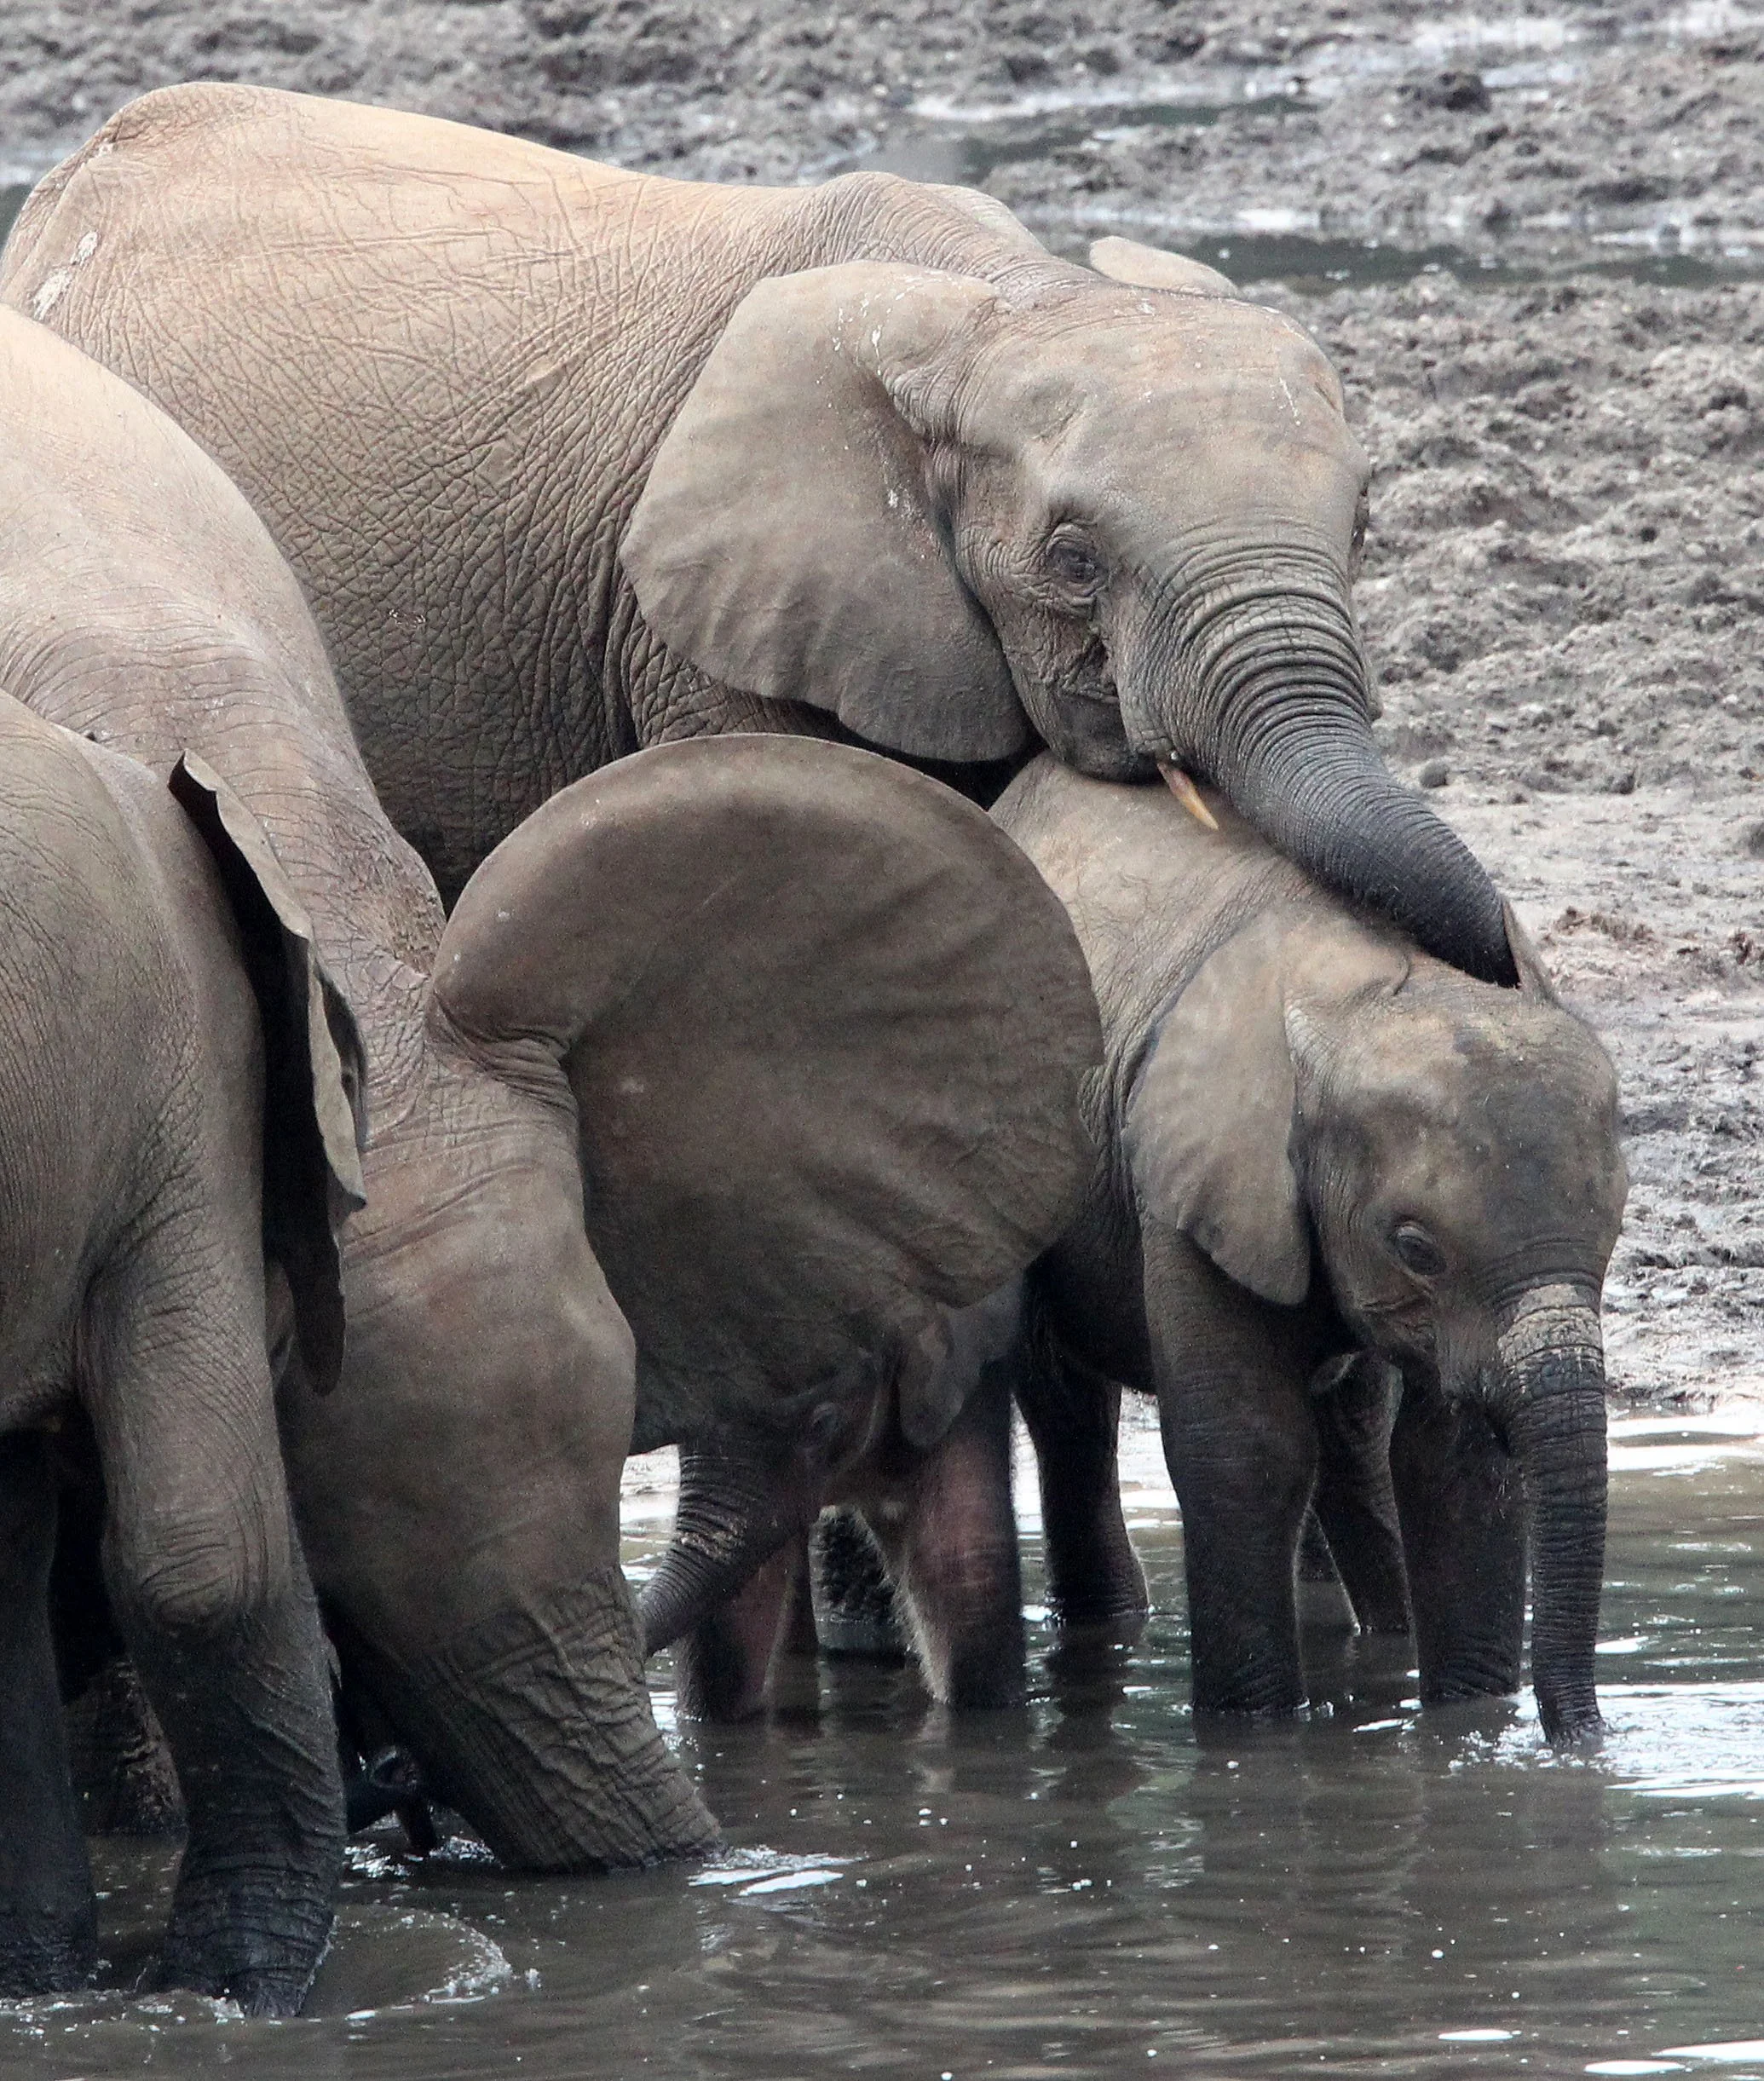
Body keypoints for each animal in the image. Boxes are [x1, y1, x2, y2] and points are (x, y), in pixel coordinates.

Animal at [991, 756, 1626, 1742]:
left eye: (1613, 1234)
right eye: (1416, 1248)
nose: (1585, 1742)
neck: (1367, 1000)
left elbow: (1451, 1465)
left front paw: (1469, 1731)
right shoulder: (1197, 1179)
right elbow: (1244, 1452)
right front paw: (1251, 1739)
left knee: (1354, 1439)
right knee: (1069, 1410)